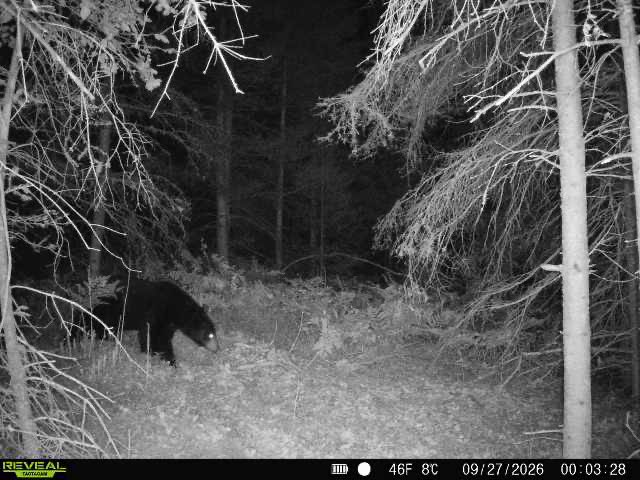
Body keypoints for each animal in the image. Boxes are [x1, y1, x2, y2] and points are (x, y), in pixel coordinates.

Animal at [77, 279, 219, 366]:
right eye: (210, 335)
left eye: (214, 333)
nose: (217, 349)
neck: (174, 307)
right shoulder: (155, 311)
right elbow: (149, 334)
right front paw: (159, 356)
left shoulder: (168, 322)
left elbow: (164, 338)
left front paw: (165, 356)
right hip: (105, 310)